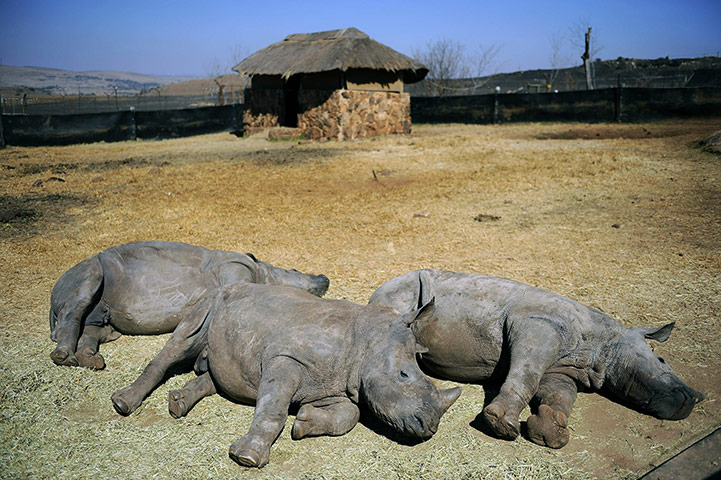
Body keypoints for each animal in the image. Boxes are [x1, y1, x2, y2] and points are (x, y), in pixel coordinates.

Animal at [49, 241, 329, 369]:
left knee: (97, 322)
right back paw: (64, 357)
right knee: (81, 297)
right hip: (86, 270)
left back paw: (91, 360)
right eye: (295, 270)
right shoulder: (235, 272)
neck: (262, 270)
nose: (324, 278)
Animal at [111, 283, 461, 468]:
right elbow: (273, 408)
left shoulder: (337, 385)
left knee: (221, 370)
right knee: (180, 341)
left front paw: (304, 421)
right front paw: (247, 457)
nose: (428, 427)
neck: (369, 341)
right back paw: (123, 404)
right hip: (209, 301)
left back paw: (178, 404)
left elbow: (349, 414)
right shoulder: (285, 358)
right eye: (403, 375)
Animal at [368, 269, 704, 449]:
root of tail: (376, 290)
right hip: (398, 295)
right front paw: (501, 424)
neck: (603, 344)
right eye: (662, 362)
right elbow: (525, 374)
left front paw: (550, 433)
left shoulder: (564, 369)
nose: (692, 398)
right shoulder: (536, 324)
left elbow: (559, 396)